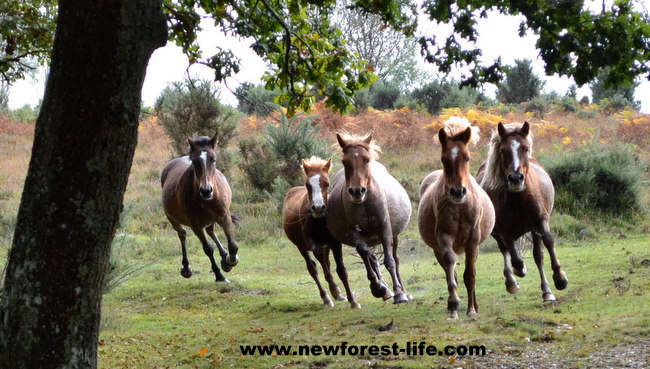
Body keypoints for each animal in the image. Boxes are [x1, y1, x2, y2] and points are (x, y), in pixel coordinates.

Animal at [161, 134, 239, 284]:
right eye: (195, 162)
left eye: (213, 159)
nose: (206, 190)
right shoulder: (195, 226)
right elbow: (208, 249)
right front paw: (219, 275)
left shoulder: (224, 216)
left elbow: (233, 245)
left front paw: (230, 260)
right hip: (172, 218)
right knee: (182, 234)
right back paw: (186, 269)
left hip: (211, 219)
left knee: (210, 230)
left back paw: (224, 257)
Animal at [324, 134, 410, 304]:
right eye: (345, 161)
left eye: (366, 159)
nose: (357, 191)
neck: (364, 204)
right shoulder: (355, 233)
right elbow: (364, 254)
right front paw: (377, 287)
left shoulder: (385, 229)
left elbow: (390, 260)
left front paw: (399, 293)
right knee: (372, 258)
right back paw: (384, 289)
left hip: (394, 236)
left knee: (395, 259)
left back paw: (403, 291)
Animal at [418, 118, 494, 320]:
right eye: (444, 159)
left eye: (466, 158)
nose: (458, 192)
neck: (459, 208)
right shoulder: (444, 235)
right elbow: (451, 265)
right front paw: (453, 303)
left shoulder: (473, 239)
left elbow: (470, 274)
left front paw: (471, 310)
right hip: (437, 248)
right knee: (448, 270)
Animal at [476, 122, 568, 300]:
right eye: (503, 150)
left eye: (525, 148)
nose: (516, 178)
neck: (518, 199)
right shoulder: (505, 231)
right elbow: (515, 257)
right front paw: (519, 270)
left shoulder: (540, 221)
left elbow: (547, 243)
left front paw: (560, 278)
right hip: (496, 232)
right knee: (505, 250)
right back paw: (511, 282)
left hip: (533, 229)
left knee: (538, 255)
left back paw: (547, 291)